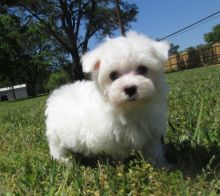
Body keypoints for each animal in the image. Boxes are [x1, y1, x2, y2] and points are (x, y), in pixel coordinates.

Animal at [45, 32, 170, 164]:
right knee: (56, 147)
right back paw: (64, 161)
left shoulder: (152, 129)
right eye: (113, 75)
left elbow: (154, 150)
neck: (130, 109)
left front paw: (161, 164)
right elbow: (118, 152)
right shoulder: (107, 138)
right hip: (55, 133)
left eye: (143, 69)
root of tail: (58, 92)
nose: (130, 89)